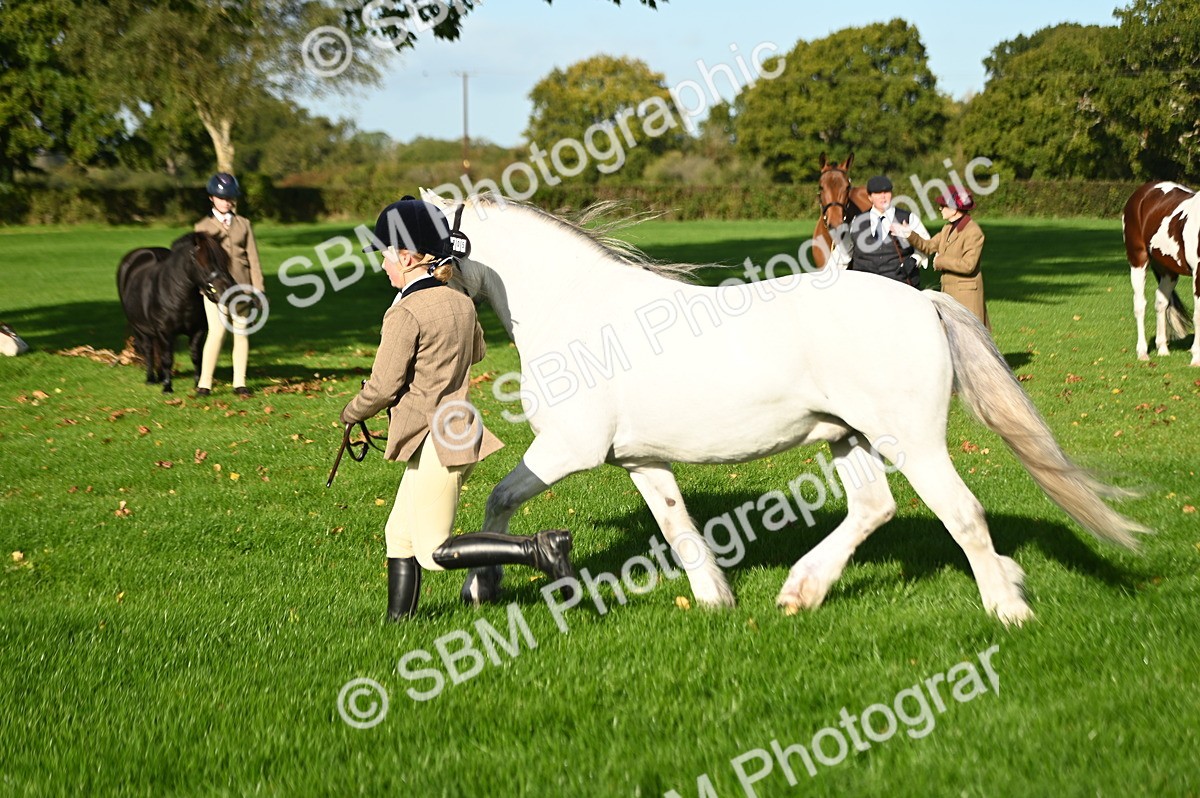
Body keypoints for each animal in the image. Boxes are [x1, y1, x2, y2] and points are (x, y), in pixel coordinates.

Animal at [116, 232, 237, 393]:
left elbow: (196, 356)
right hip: (140, 329)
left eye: (224, 259)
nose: (226, 290)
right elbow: (167, 358)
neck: (176, 294)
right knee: (149, 351)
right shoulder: (165, 332)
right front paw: (167, 387)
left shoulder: (198, 331)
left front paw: (197, 384)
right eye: (203, 260)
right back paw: (151, 379)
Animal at [422, 190, 1146, 626]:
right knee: (874, 508)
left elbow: (497, 501)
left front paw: (477, 585)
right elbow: (677, 526)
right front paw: (715, 600)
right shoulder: (639, 460)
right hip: (848, 436)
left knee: (961, 513)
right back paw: (804, 590)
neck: (576, 311)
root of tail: (925, 304)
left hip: (909, 440)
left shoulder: (568, 449)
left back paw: (1006, 608)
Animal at [1121, 180, 1199, 365]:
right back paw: (1142, 352)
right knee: (1140, 305)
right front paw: (1196, 358)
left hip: (1168, 271)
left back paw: (1163, 349)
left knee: (1161, 303)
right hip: (1138, 261)